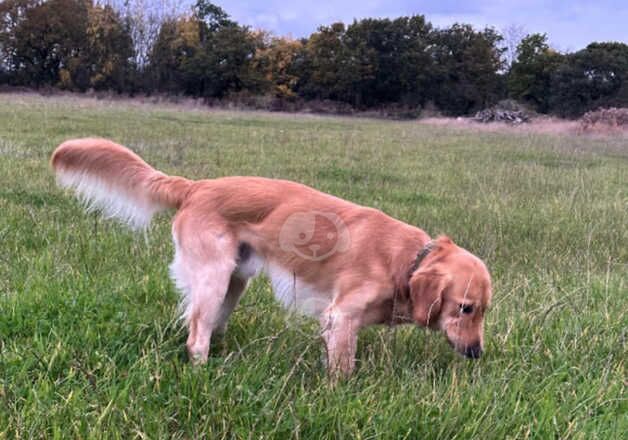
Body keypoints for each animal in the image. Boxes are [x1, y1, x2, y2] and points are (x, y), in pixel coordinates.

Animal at [51, 138, 494, 374]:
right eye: (465, 308)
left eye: (483, 310)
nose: (477, 354)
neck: (407, 261)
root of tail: (196, 186)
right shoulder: (341, 317)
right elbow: (343, 369)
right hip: (214, 278)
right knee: (196, 338)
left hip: (235, 281)